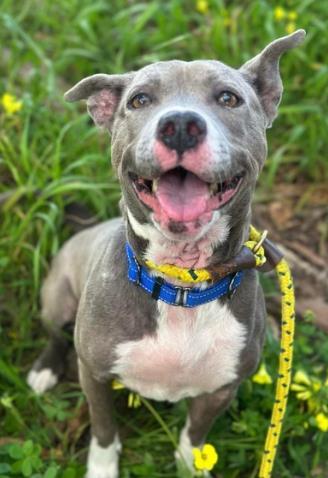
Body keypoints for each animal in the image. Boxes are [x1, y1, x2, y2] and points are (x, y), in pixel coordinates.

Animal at [27, 30, 304, 478]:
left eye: (228, 98)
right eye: (139, 100)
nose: (179, 126)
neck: (181, 283)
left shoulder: (222, 387)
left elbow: (195, 434)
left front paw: (191, 466)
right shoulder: (95, 374)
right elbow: (103, 429)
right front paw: (102, 467)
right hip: (55, 296)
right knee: (55, 332)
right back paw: (44, 369)